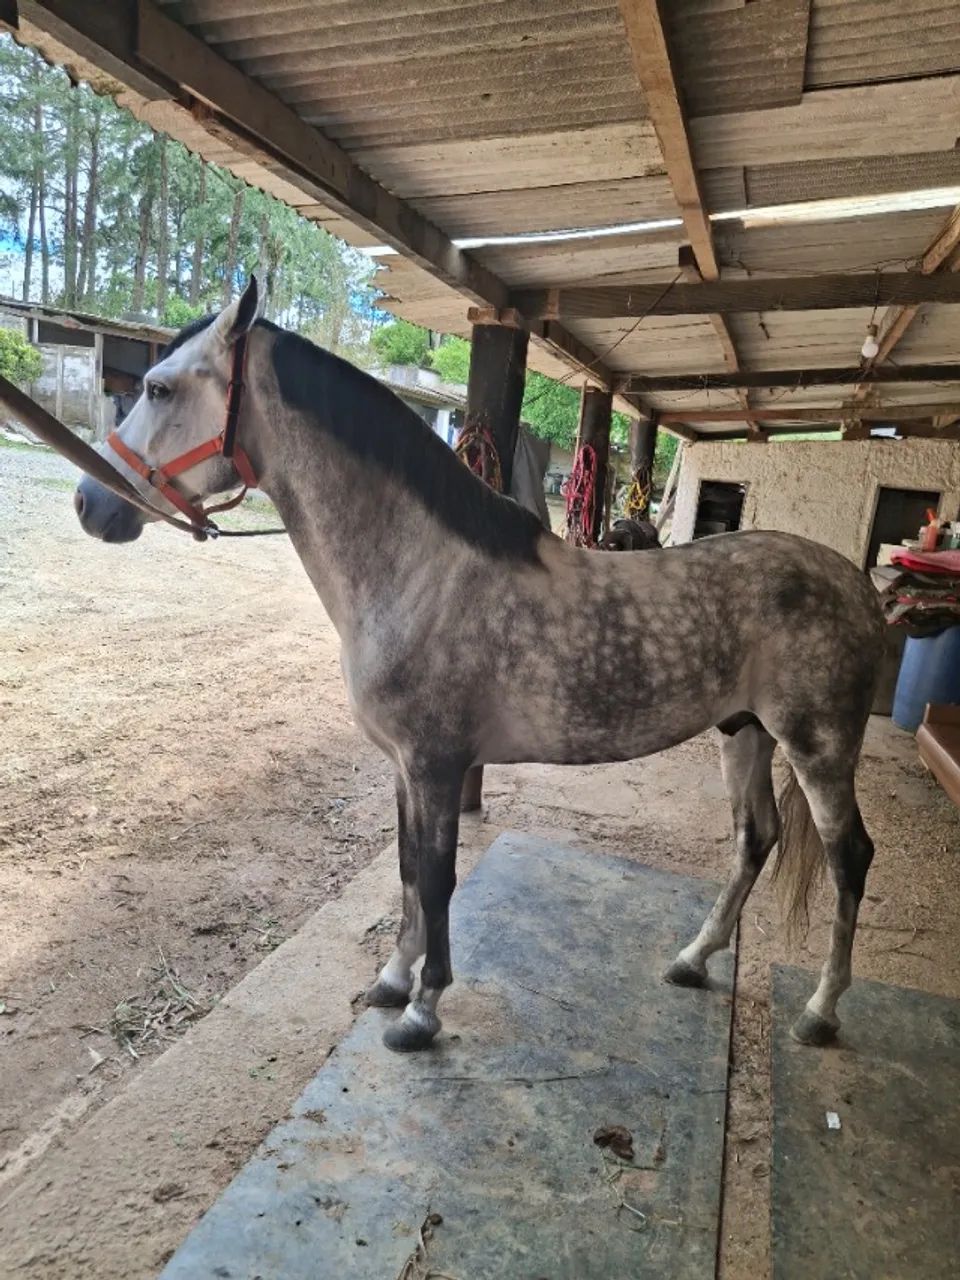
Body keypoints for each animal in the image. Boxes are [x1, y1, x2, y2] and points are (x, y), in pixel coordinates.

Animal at [74, 278, 885, 1054]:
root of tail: (860, 588)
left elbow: (437, 881)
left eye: (160, 389)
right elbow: (408, 873)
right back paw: (692, 959)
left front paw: (423, 1010)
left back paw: (820, 1012)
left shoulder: (436, 764)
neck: (420, 573)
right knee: (756, 839)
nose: (90, 503)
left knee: (850, 857)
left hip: (818, 748)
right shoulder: (405, 768)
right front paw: (392, 980)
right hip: (744, 732)